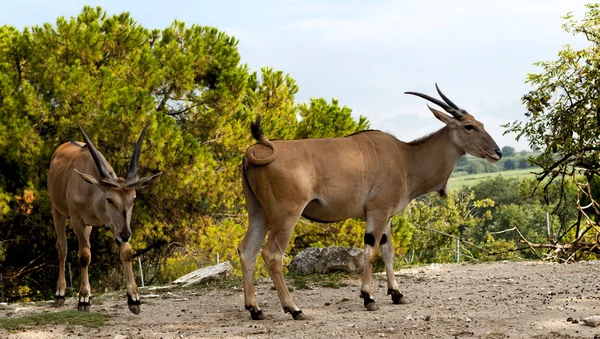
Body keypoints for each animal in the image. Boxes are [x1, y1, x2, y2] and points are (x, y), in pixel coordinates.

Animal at [48, 121, 162, 314]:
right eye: (109, 198)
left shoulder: (113, 224)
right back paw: (60, 294)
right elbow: (84, 256)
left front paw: (134, 299)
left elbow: (126, 252)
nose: (126, 234)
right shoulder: (78, 221)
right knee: (62, 246)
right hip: (57, 210)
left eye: (133, 198)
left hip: (89, 226)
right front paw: (84, 299)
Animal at [238, 83, 502, 320]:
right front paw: (368, 297)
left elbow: (388, 250)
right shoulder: (378, 211)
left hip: (259, 213)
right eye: (469, 126)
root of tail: (254, 152)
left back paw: (255, 309)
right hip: (286, 215)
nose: (497, 152)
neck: (406, 158)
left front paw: (396, 294)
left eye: (480, 124)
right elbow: (371, 251)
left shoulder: (386, 215)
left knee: (247, 250)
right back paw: (294, 309)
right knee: (272, 254)